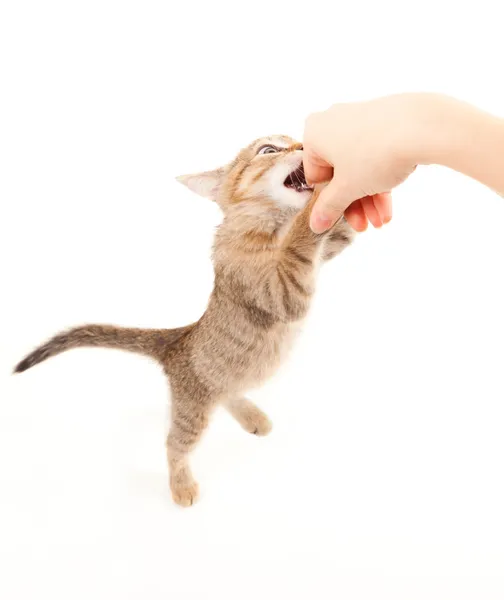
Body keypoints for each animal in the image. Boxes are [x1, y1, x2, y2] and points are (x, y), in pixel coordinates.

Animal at [13, 136, 356, 506]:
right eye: (268, 150)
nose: (304, 145)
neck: (273, 223)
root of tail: (178, 339)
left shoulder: (326, 252)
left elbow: (340, 233)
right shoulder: (280, 290)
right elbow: (301, 241)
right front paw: (321, 195)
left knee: (228, 393)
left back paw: (253, 417)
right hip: (193, 411)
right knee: (174, 445)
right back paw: (181, 485)